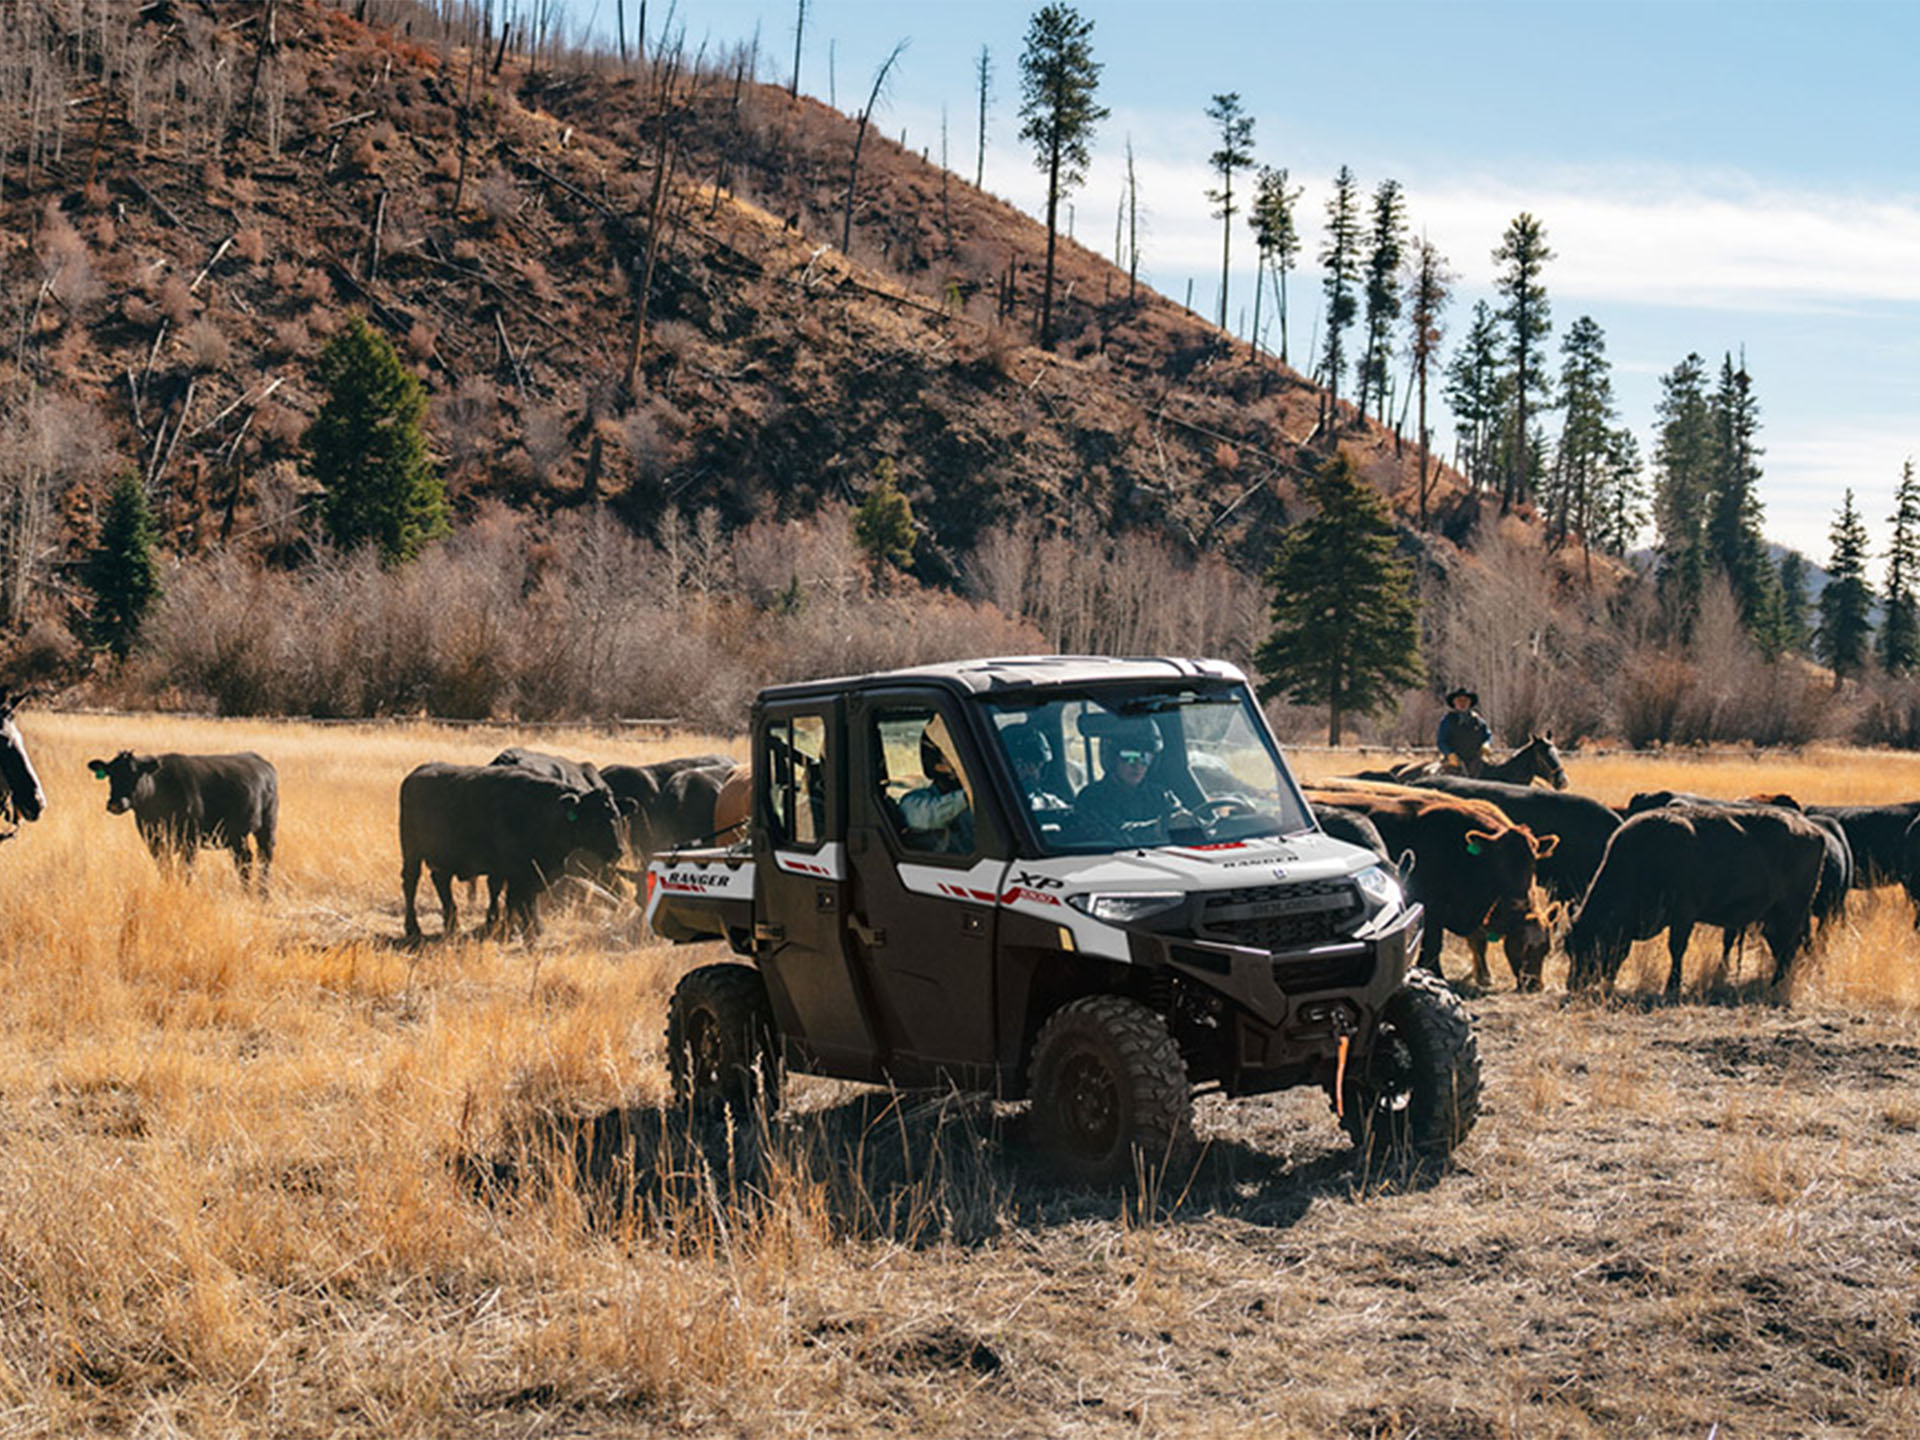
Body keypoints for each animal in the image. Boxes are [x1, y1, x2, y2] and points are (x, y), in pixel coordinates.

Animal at [87, 756, 278, 890]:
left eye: (135, 775)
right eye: (110, 775)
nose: (115, 803)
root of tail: (263, 763)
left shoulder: (190, 840)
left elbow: (185, 870)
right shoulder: (153, 841)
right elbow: (165, 869)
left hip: (266, 828)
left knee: (264, 858)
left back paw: (263, 894)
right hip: (237, 836)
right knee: (245, 860)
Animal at [401, 760, 625, 940]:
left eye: (616, 815)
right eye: (594, 820)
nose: (618, 851)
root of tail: (415, 774)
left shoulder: (530, 874)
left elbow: (523, 901)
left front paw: (531, 928)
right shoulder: (516, 874)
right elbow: (517, 901)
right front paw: (519, 931)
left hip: (444, 859)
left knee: (441, 882)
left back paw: (452, 925)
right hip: (412, 853)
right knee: (411, 883)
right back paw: (413, 928)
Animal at [1566, 806, 1820, 998]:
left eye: (1593, 946)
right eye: (1569, 948)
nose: (1572, 984)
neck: (1644, 859)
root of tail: (1814, 831)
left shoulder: (1682, 917)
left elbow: (1676, 950)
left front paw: (1672, 986)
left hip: (1791, 911)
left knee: (1789, 944)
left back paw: (1776, 984)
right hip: (1775, 916)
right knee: (1780, 944)